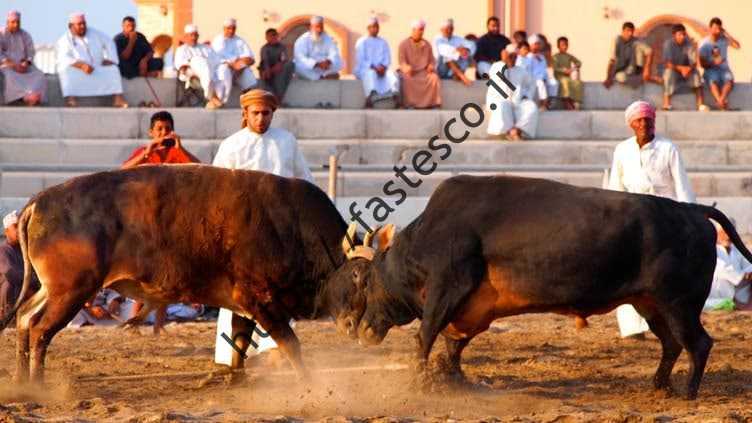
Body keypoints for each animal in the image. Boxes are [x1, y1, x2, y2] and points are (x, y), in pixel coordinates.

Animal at [0, 166, 362, 384]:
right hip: (72, 291)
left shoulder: (244, 304)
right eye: (360, 281)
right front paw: (309, 383)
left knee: (24, 318)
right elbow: (290, 343)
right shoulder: (261, 301)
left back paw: (20, 382)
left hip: (54, 290)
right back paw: (38, 384)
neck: (292, 226)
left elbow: (239, 343)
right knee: (41, 329)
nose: (361, 329)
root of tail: (40, 202)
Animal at [334, 176, 752, 400]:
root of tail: (691, 210)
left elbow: (424, 337)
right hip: (650, 304)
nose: (362, 329)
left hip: (680, 303)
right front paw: (453, 379)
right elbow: (453, 344)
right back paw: (659, 386)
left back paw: (688, 393)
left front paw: (418, 382)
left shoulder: (445, 290)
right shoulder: (472, 309)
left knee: (698, 344)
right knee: (671, 344)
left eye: (366, 280)